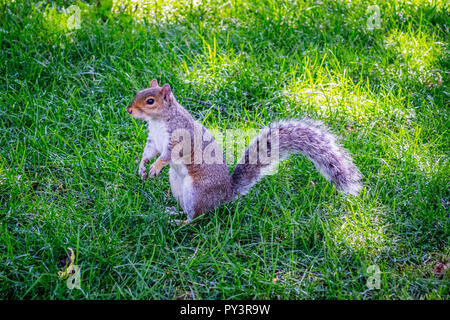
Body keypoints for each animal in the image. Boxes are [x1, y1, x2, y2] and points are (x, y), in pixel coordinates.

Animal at [125, 80, 362, 225]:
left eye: (150, 101)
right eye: (137, 93)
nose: (129, 110)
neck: (158, 121)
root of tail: (225, 195)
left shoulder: (180, 138)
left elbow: (167, 155)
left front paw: (155, 167)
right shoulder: (153, 140)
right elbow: (148, 152)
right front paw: (142, 167)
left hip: (196, 191)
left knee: (198, 216)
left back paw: (180, 222)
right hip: (177, 185)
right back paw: (173, 212)